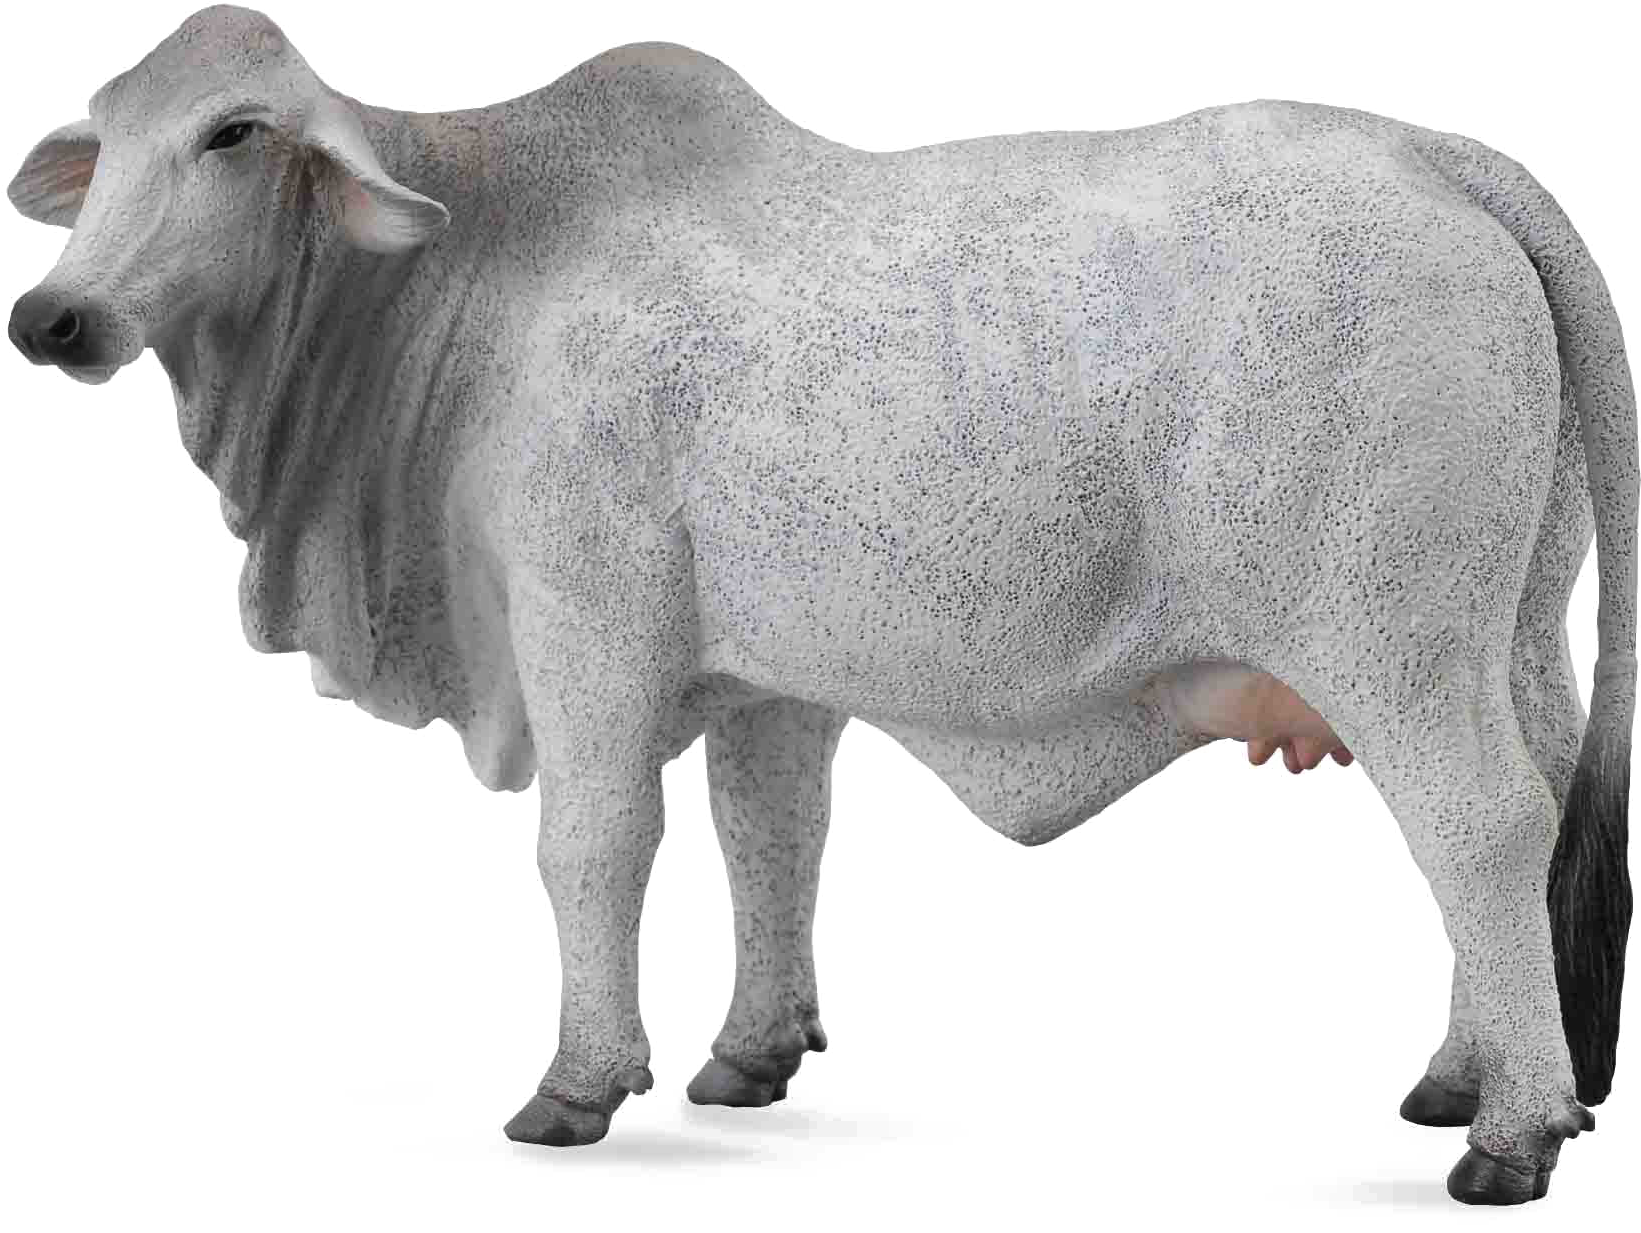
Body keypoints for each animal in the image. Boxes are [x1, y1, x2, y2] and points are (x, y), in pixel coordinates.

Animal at [7, 5, 1633, 1206]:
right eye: (108, 139)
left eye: (231, 135)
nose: (55, 316)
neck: (475, 270)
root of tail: (1439, 163)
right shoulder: (769, 678)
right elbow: (772, 843)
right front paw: (747, 1061)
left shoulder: (585, 637)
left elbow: (592, 849)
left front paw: (576, 1087)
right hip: (1511, 632)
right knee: (1550, 791)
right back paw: (1469, 1080)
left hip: (1391, 641)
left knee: (1481, 823)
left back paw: (1511, 1137)